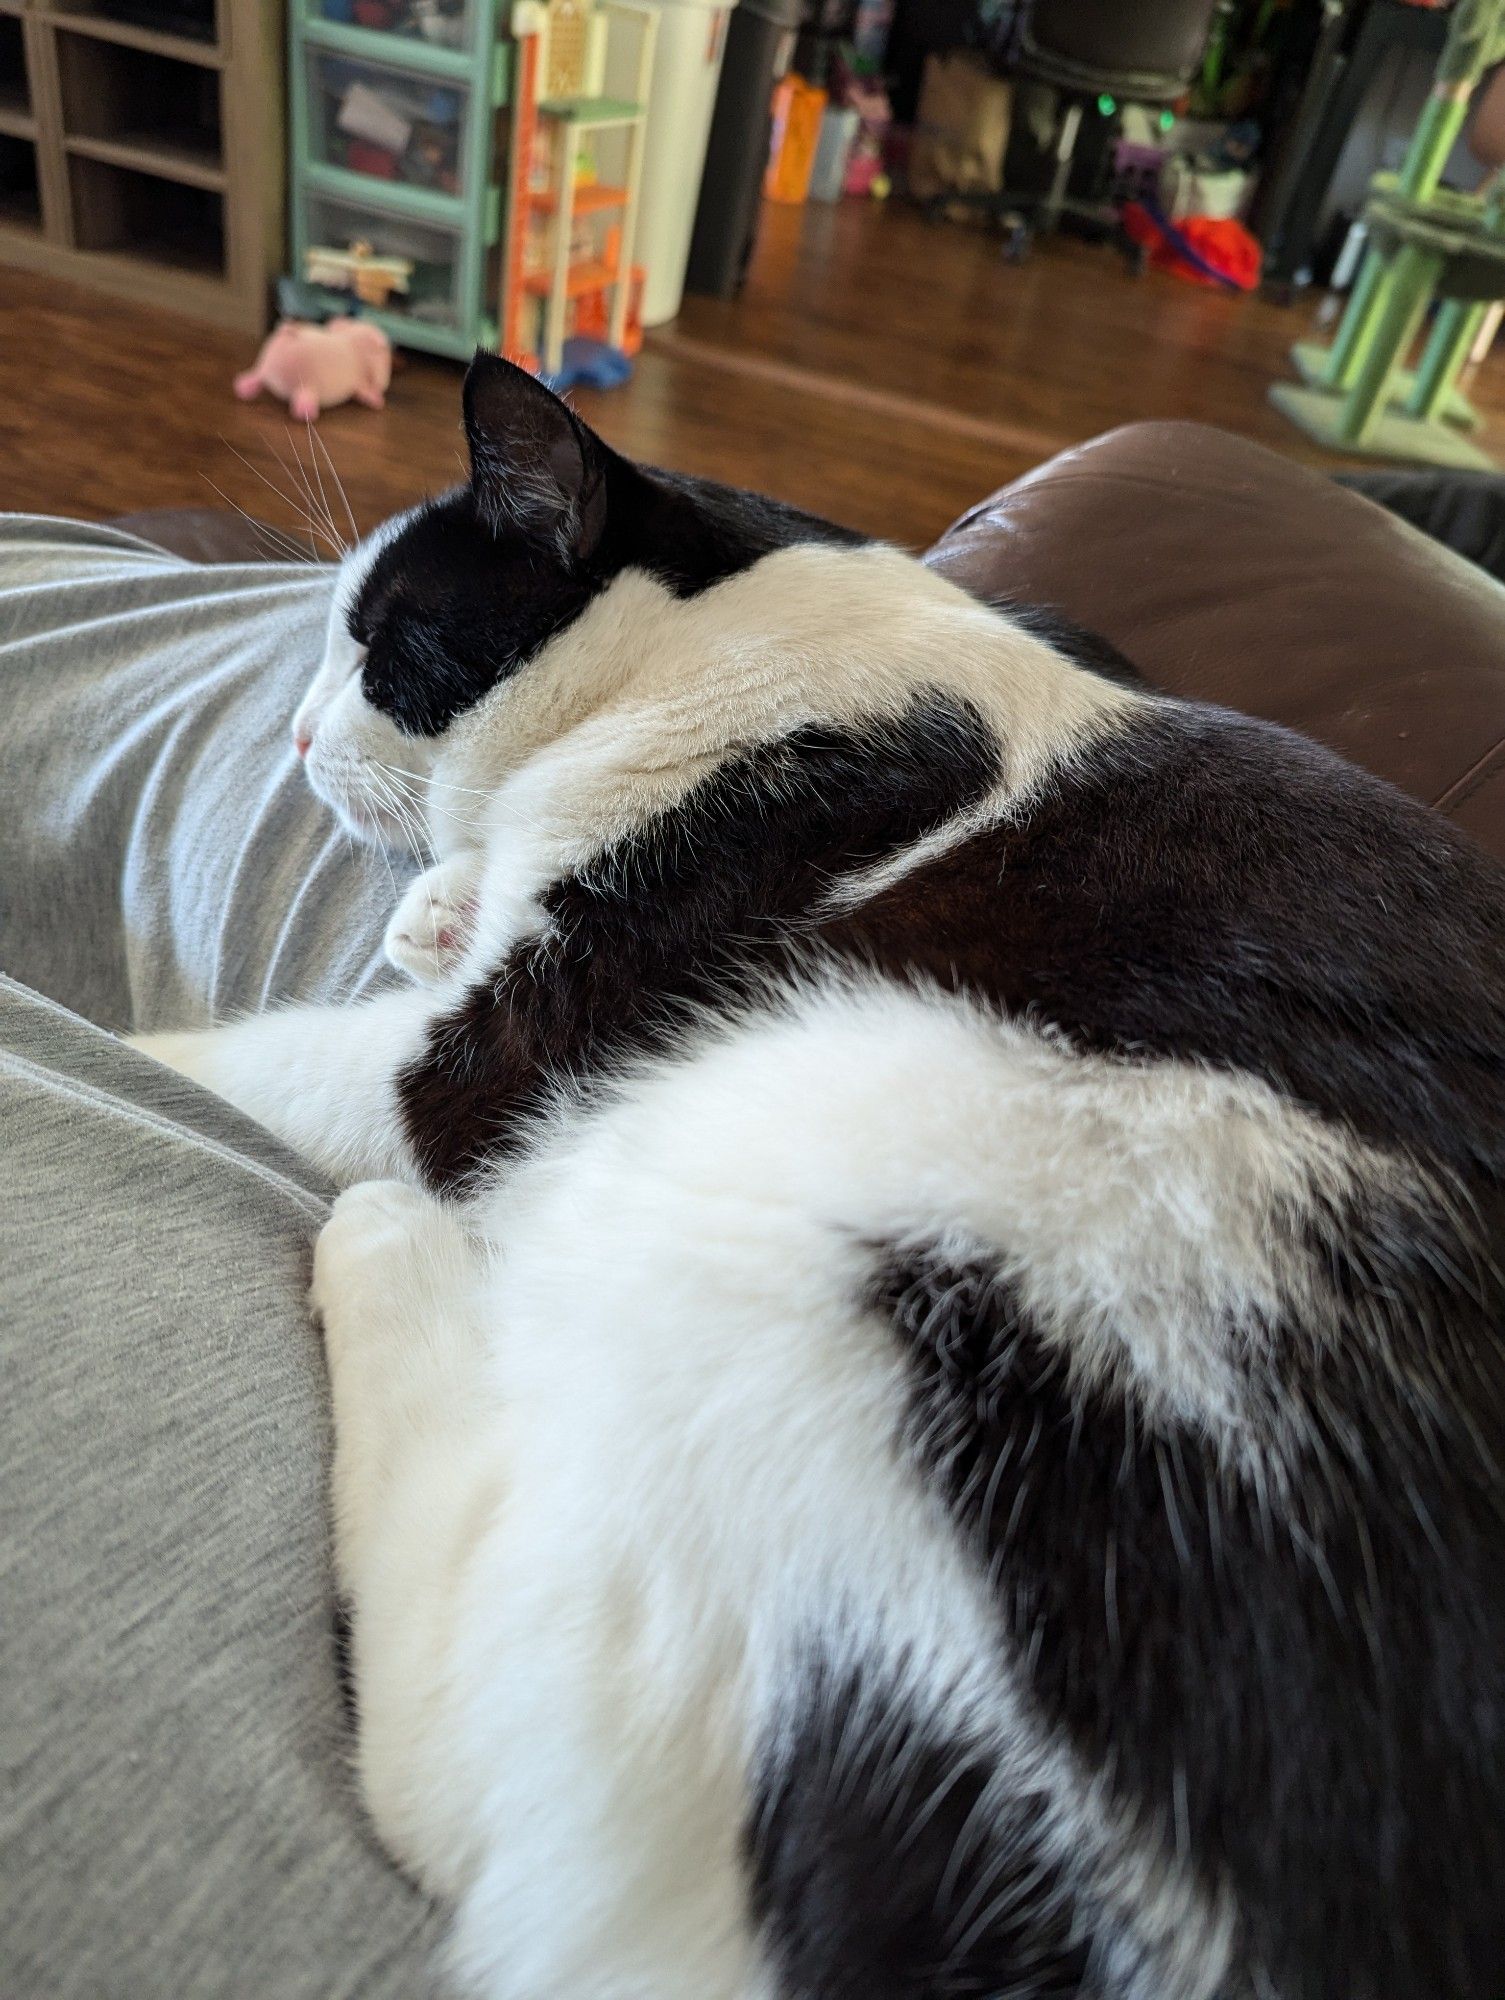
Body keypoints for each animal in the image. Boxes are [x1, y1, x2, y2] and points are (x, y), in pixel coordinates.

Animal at [138, 352, 1505, 1992]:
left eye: (386, 646)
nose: (291, 740)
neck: (720, 660)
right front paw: (441, 905)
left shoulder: (510, 1059)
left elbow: (257, 1061)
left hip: (828, 1162)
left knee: (499, 1790)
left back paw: (395, 1258)